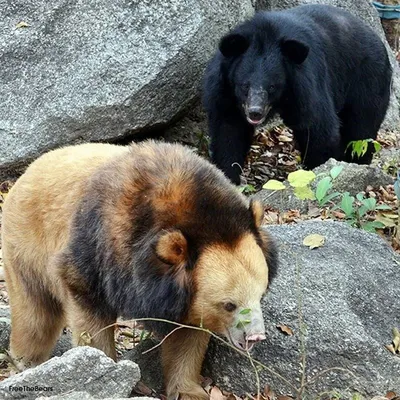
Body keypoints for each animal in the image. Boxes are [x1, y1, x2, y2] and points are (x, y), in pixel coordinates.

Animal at [205, 3, 392, 184]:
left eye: (272, 87)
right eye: (244, 86)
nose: (255, 112)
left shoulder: (306, 84)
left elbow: (318, 128)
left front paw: (318, 170)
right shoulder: (223, 92)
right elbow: (228, 132)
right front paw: (229, 177)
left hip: (368, 81)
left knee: (361, 130)